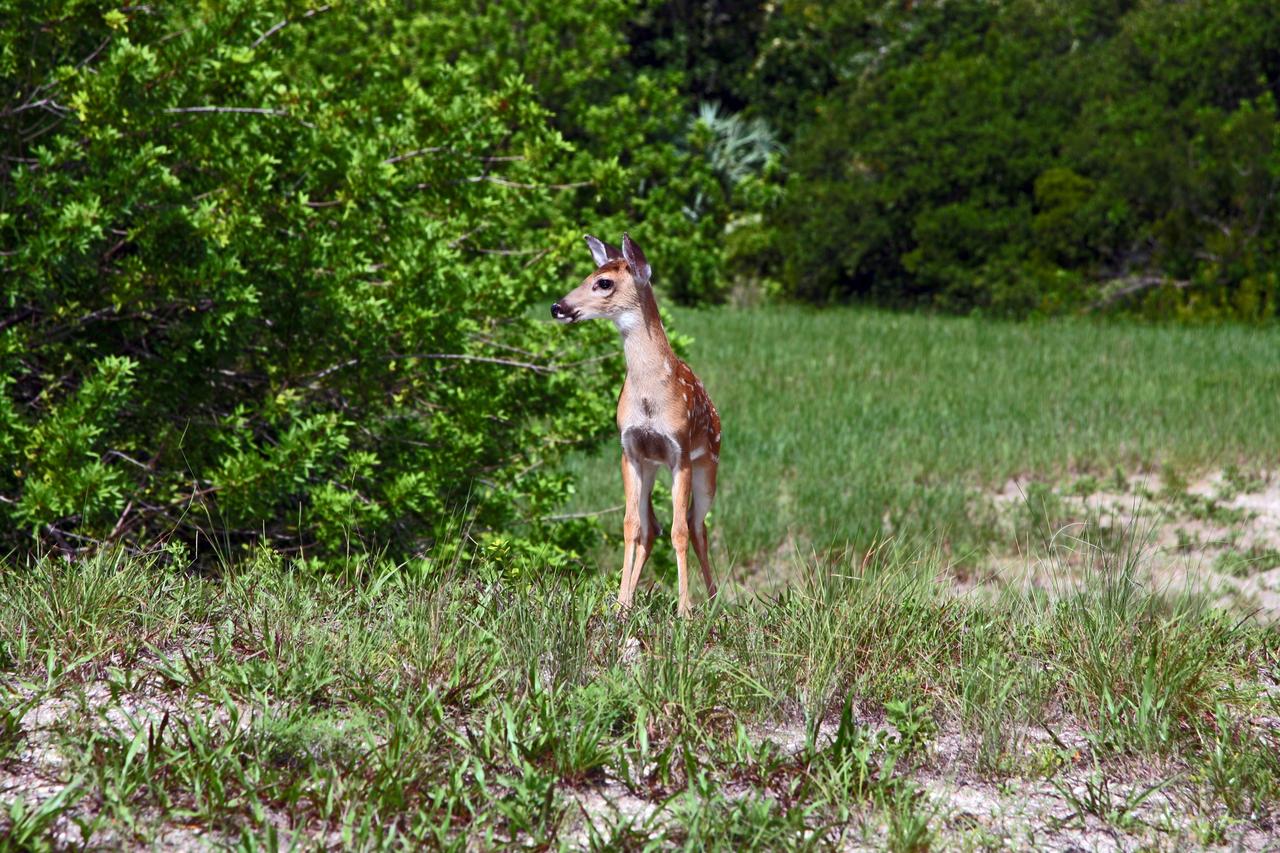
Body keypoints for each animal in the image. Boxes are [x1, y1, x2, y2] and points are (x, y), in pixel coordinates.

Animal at [552, 233, 721, 617]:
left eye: (603, 282)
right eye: (588, 274)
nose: (557, 306)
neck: (649, 402)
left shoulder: (680, 451)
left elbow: (679, 531)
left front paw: (684, 610)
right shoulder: (630, 450)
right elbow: (631, 525)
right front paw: (620, 604)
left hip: (709, 465)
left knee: (697, 525)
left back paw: (714, 599)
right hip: (651, 465)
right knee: (653, 526)